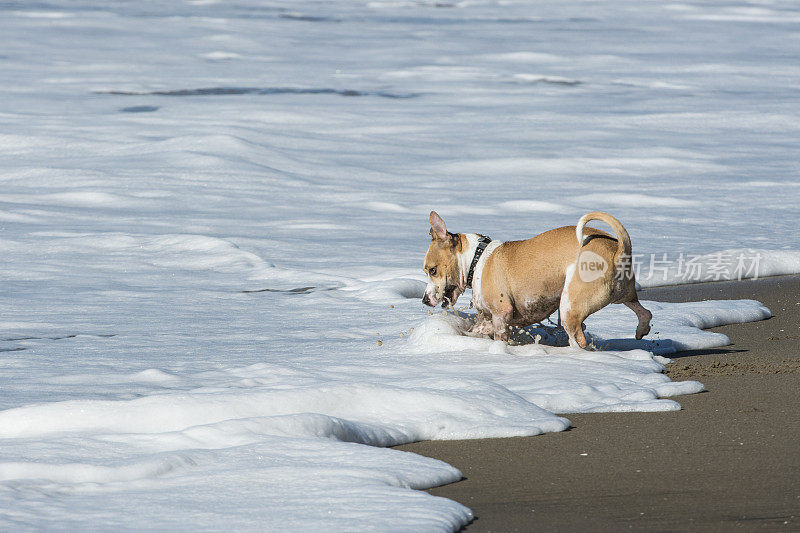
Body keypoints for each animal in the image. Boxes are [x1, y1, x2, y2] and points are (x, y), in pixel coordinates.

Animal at [422, 210, 652, 348]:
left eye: (432, 270)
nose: (424, 300)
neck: (477, 259)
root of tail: (619, 251)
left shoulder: (502, 313)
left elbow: (500, 335)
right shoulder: (489, 318)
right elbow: (479, 329)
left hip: (569, 308)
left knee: (578, 339)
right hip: (623, 294)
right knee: (644, 311)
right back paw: (642, 329)